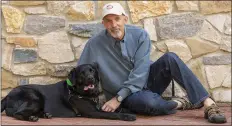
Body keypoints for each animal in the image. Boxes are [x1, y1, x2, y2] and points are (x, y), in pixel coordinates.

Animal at [0, 63, 136, 121]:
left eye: (92, 71)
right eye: (82, 73)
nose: (90, 78)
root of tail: (7, 96)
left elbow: (116, 110)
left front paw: (126, 110)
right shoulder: (92, 112)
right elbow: (112, 114)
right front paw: (128, 116)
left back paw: (45, 115)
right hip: (35, 97)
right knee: (16, 113)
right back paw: (32, 118)